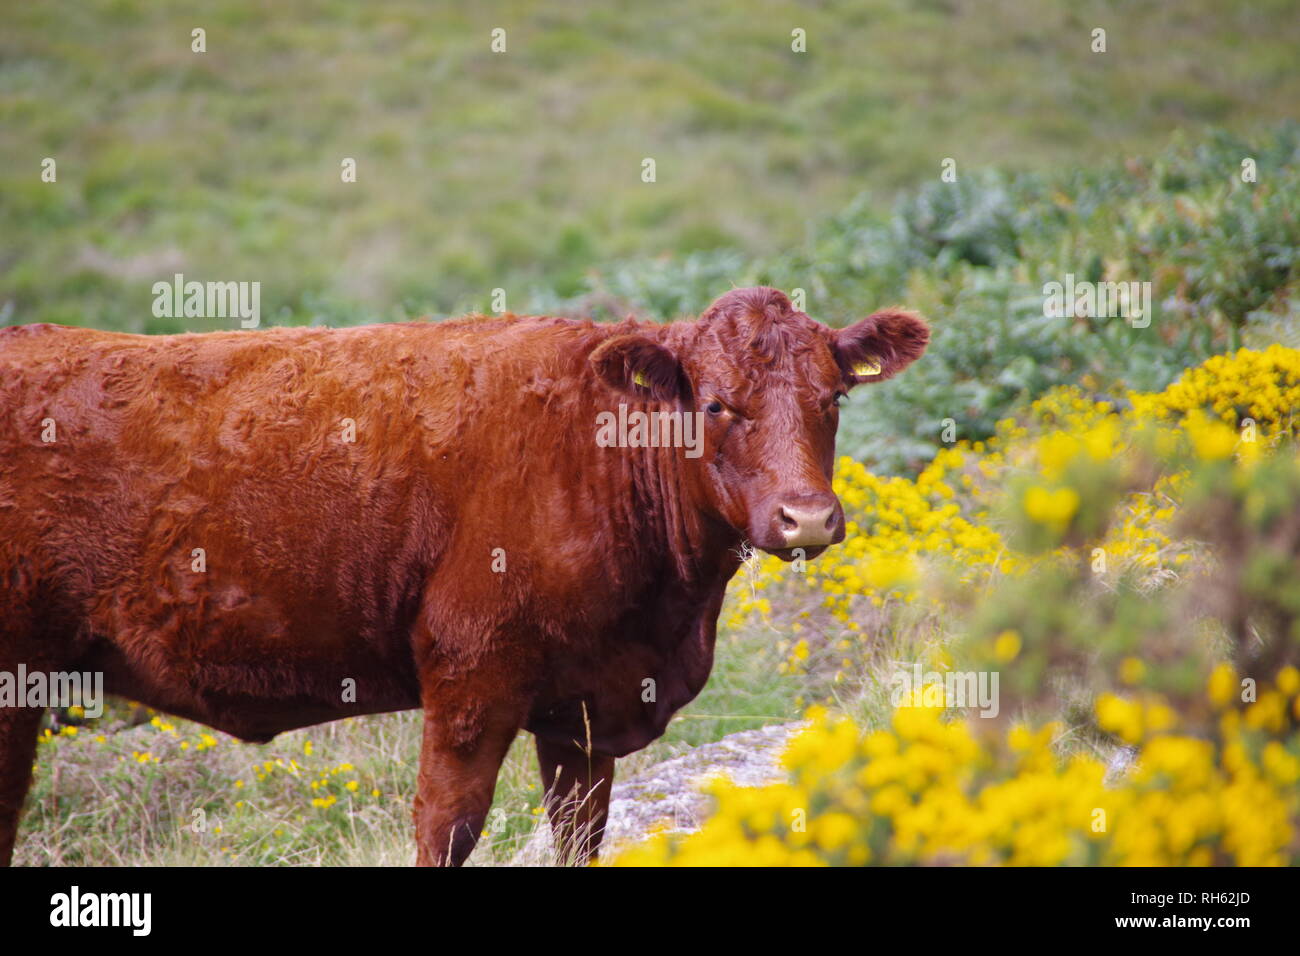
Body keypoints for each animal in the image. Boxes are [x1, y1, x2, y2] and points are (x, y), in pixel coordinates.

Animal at [0, 286, 928, 866]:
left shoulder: (583, 713)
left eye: (833, 398)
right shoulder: (471, 676)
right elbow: (445, 828)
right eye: (716, 404)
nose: (808, 518)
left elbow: (580, 835)